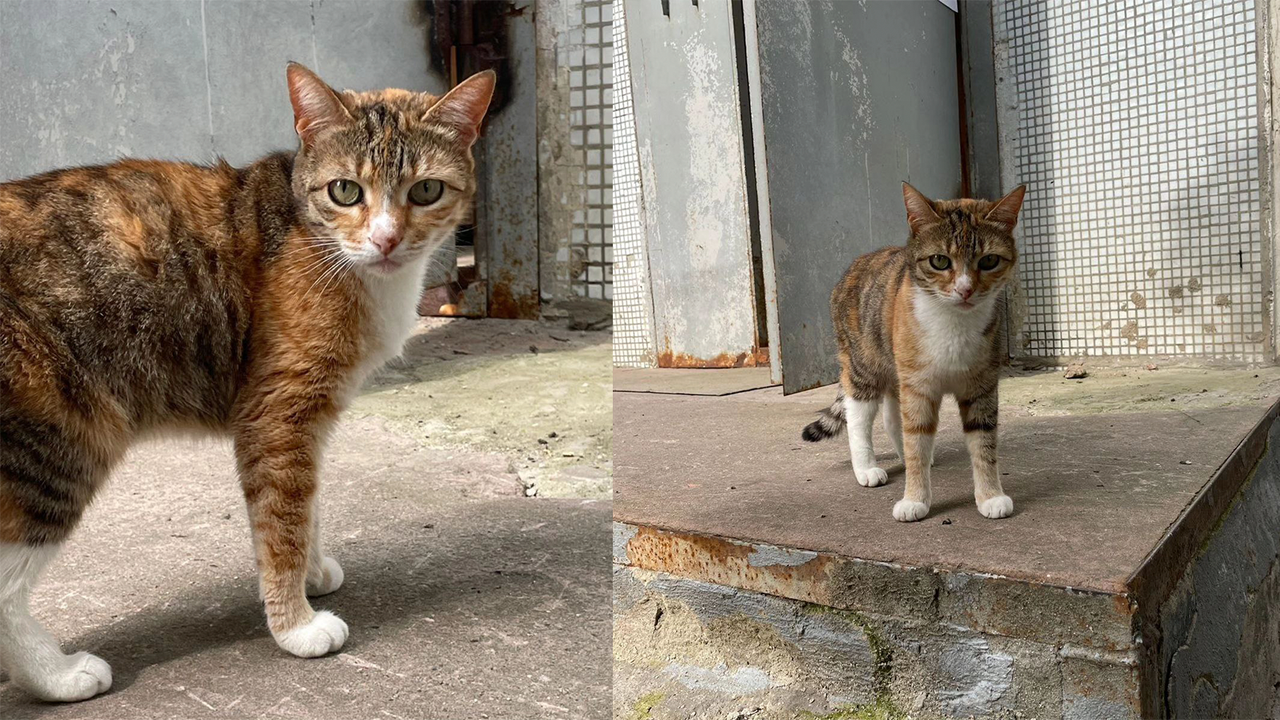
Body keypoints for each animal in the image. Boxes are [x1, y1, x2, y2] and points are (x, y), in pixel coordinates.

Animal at [0, 64, 494, 696]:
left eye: (426, 191)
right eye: (345, 191)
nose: (385, 239)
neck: (319, 240)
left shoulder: (310, 417)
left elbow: (307, 503)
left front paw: (313, 572)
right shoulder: (278, 412)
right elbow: (282, 520)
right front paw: (296, 625)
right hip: (61, 442)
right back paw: (57, 676)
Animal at [803, 180, 1024, 520]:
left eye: (989, 261)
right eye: (939, 261)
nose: (965, 290)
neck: (953, 323)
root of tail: (860, 261)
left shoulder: (981, 386)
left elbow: (983, 443)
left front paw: (990, 496)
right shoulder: (918, 385)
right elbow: (916, 437)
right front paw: (914, 500)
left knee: (893, 418)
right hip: (865, 363)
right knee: (860, 415)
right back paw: (866, 468)